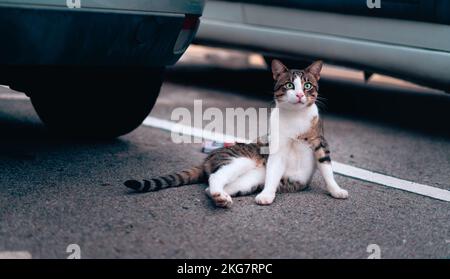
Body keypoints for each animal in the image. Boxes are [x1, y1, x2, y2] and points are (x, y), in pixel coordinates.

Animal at [123, 59, 348, 208]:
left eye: (308, 85)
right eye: (290, 85)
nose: (300, 94)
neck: (295, 117)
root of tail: (209, 157)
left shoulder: (320, 142)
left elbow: (327, 169)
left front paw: (336, 190)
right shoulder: (277, 150)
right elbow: (274, 171)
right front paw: (267, 195)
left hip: (250, 180)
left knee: (213, 186)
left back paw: (220, 197)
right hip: (239, 160)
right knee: (215, 177)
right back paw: (220, 196)